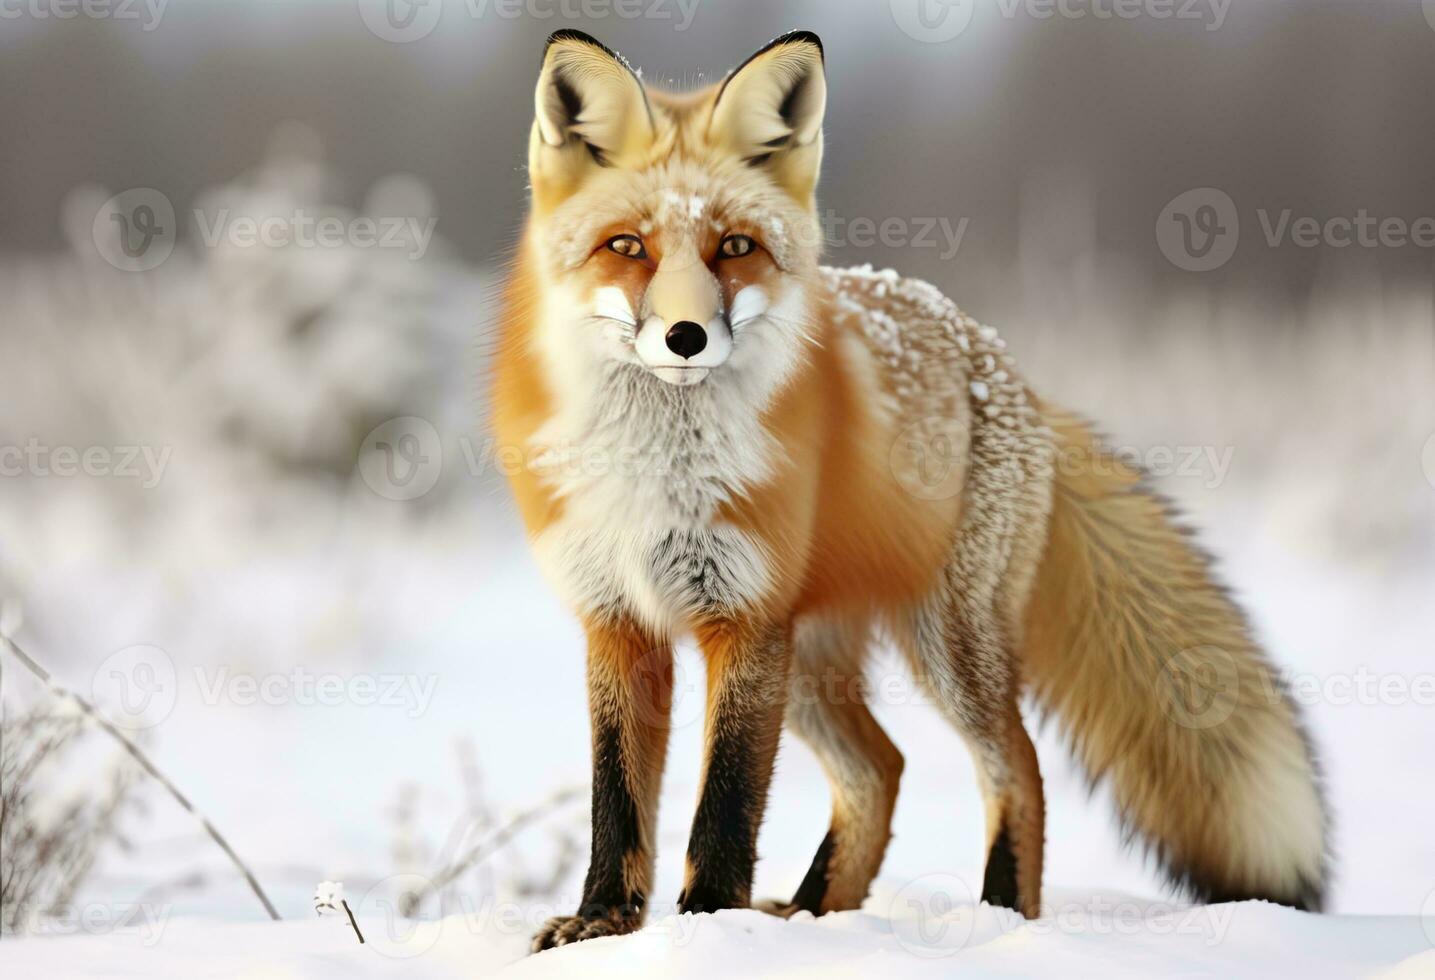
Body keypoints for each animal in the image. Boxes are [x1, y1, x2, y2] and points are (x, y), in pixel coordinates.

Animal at [493, 28, 1320, 952]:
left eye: (734, 247)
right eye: (627, 247)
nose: (685, 336)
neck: (655, 475)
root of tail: (1003, 362)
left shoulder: (741, 619)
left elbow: (724, 808)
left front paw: (709, 928)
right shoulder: (617, 620)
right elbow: (618, 802)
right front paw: (602, 923)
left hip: (938, 645)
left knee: (1014, 766)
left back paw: (997, 917)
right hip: (811, 663)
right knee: (881, 769)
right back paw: (814, 912)